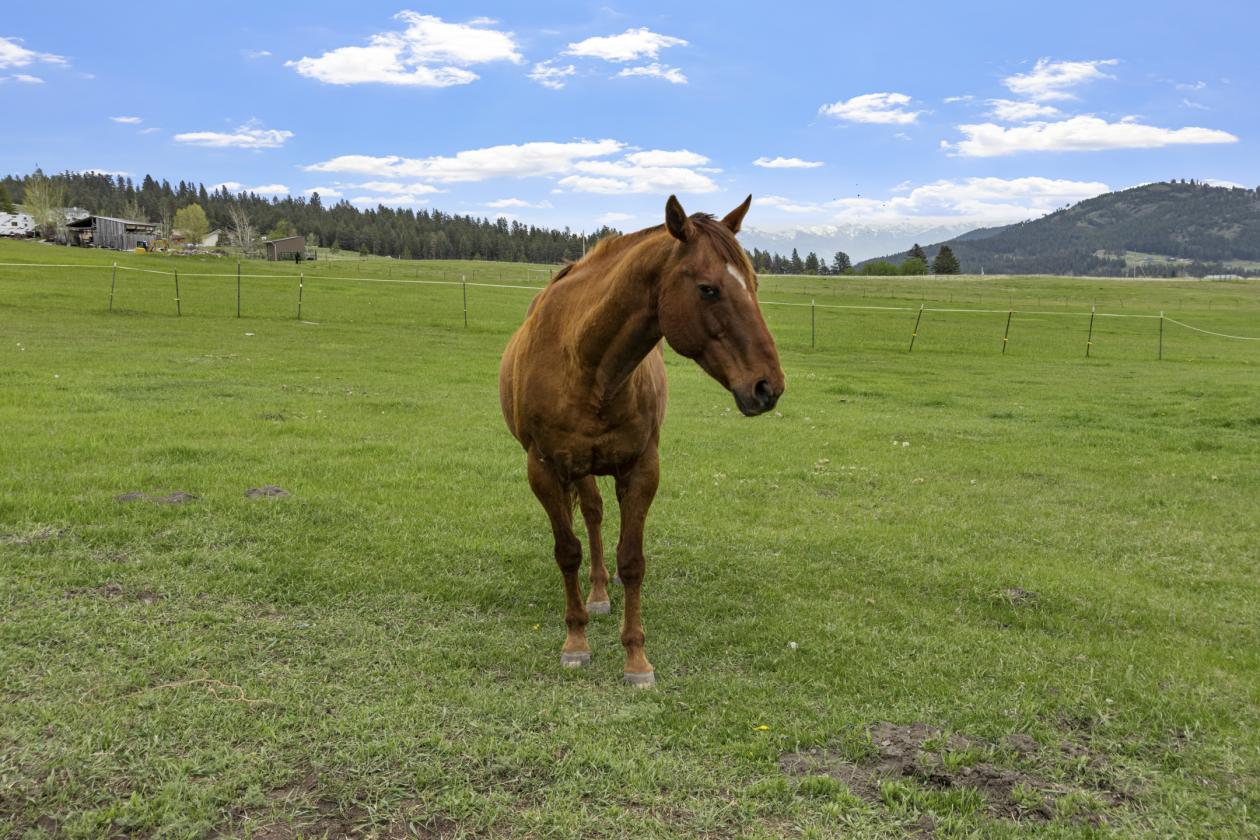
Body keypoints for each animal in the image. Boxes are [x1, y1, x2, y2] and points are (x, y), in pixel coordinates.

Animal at [498, 194, 784, 687]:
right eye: (708, 289)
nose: (768, 386)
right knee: (591, 518)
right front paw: (576, 641)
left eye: (754, 283)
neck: (586, 363)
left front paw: (636, 658)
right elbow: (567, 552)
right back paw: (594, 596)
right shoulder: (544, 470)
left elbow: (632, 561)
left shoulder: (642, 469)